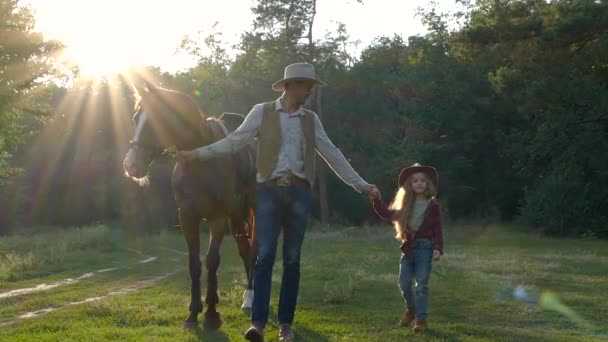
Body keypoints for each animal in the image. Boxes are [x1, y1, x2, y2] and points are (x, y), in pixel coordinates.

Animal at [122, 81, 255, 330]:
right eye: (135, 118)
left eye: (156, 119)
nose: (131, 165)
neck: (200, 161)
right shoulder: (187, 218)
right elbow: (194, 263)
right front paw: (193, 313)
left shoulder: (217, 218)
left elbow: (212, 261)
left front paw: (212, 313)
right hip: (236, 218)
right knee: (245, 249)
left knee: (251, 251)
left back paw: (251, 297)